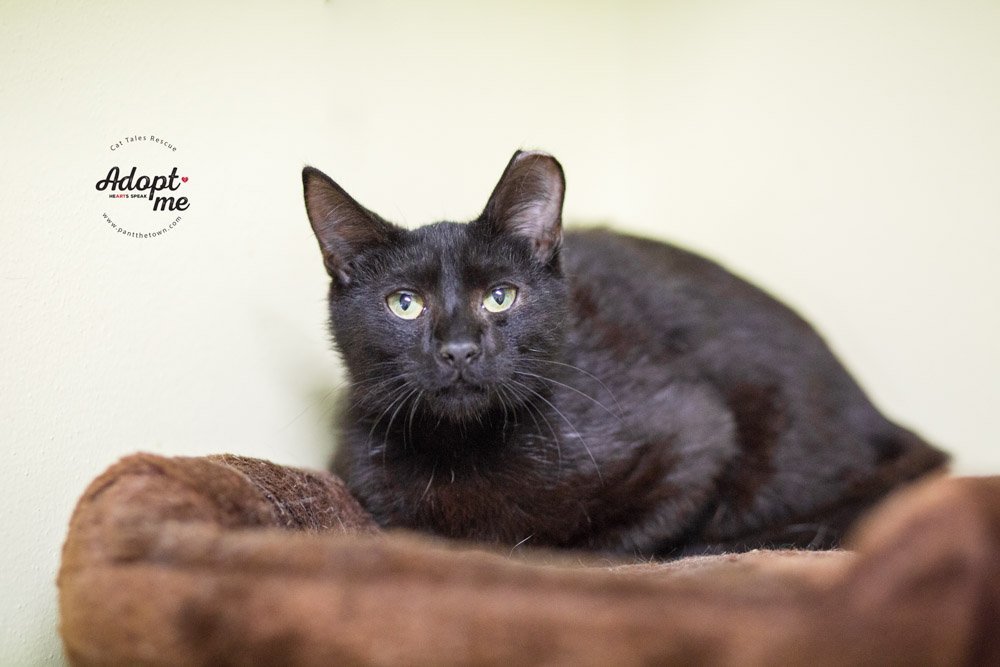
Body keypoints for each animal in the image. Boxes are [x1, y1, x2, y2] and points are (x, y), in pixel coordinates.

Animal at [298, 151, 944, 560]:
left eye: (501, 296)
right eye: (405, 304)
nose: (459, 350)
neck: (463, 449)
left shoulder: (696, 433)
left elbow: (595, 546)